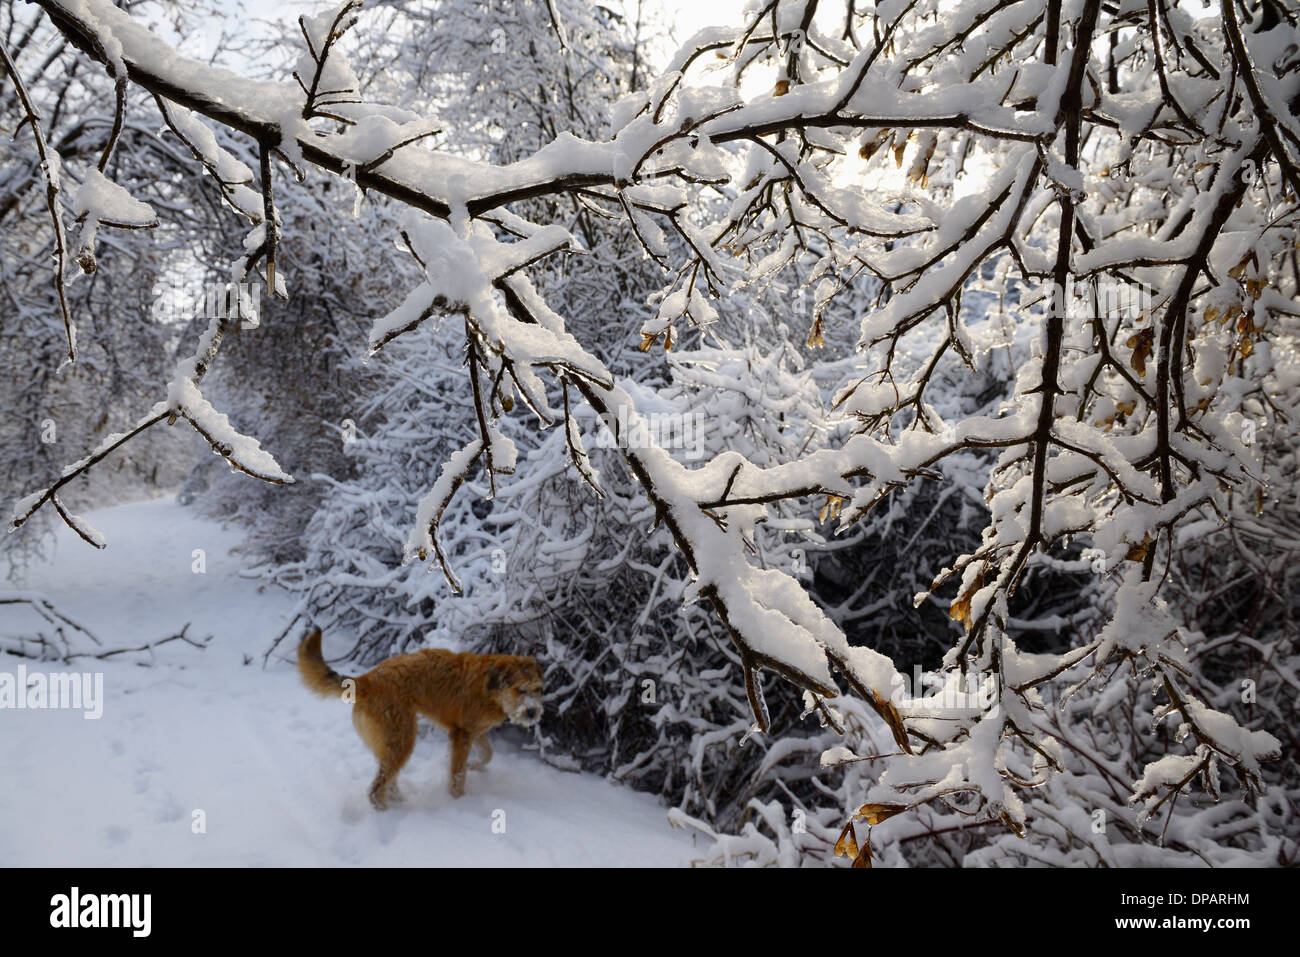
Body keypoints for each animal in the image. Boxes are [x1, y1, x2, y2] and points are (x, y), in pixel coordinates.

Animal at [297, 629, 543, 806]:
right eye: (520, 690)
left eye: (538, 690)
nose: (533, 712)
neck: (490, 688)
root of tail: (366, 679)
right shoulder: (462, 735)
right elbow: (457, 775)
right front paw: (459, 801)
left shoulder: (475, 731)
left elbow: (487, 754)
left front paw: (474, 765)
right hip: (403, 738)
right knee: (376, 789)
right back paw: (387, 813)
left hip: (393, 742)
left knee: (387, 778)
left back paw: (398, 801)